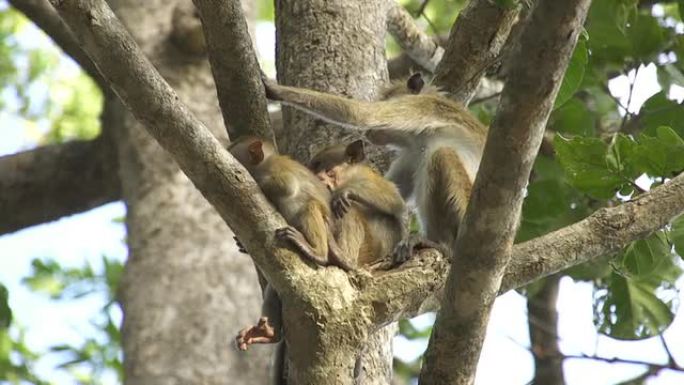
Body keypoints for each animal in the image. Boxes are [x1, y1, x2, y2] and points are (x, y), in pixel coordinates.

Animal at [264, 73, 486, 249]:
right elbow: (394, 192)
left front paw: (276, 90)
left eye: (387, 99)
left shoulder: (421, 107)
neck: (416, 137)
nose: (368, 133)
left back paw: (441, 243)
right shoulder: (411, 154)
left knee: (442, 155)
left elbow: (363, 114)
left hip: (464, 209)